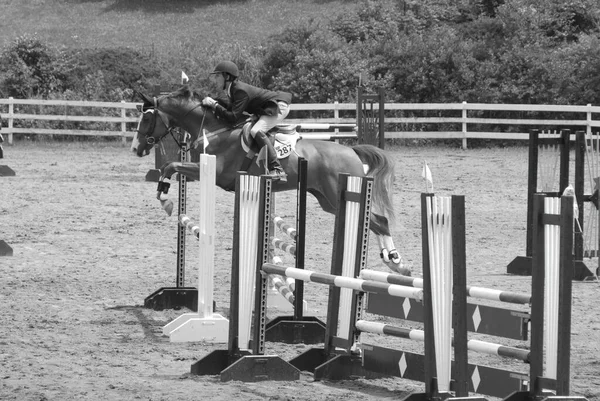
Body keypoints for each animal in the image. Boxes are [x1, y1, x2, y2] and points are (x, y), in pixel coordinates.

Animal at [132, 86, 408, 276]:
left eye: (146, 119)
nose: (136, 149)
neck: (213, 128)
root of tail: (352, 151)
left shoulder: (209, 171)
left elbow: (170, 165)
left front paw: (165, 196)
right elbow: (168, 166)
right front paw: (164, 192)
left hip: (338, 194)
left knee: (379, 221)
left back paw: (395, 261)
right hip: (328, 200)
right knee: (376, 221)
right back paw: (393, 262)